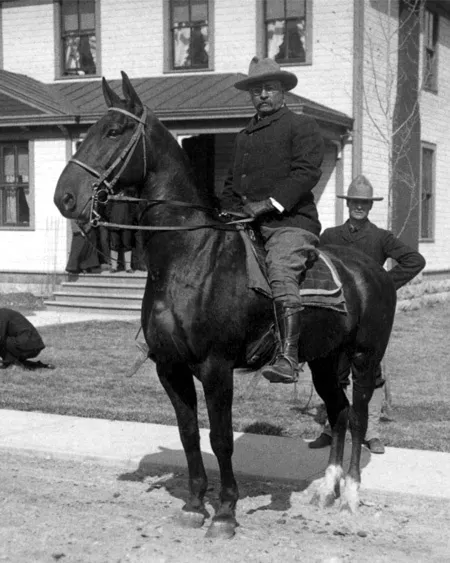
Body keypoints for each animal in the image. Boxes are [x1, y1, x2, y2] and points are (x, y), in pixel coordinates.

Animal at [54, 72, 396, 540]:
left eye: (115, 130)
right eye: (87, 130)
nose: (65, 197)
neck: (191, 256)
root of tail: (373, 270)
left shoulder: (216, 368)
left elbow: (221, 439)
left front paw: (226, 512)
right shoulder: (171, 368)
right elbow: (189, 435)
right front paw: (195, 504)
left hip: (364, 358)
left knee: (358, 416)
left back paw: (351, 496)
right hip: (325, 360)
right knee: (339, 413)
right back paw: (328, 488)